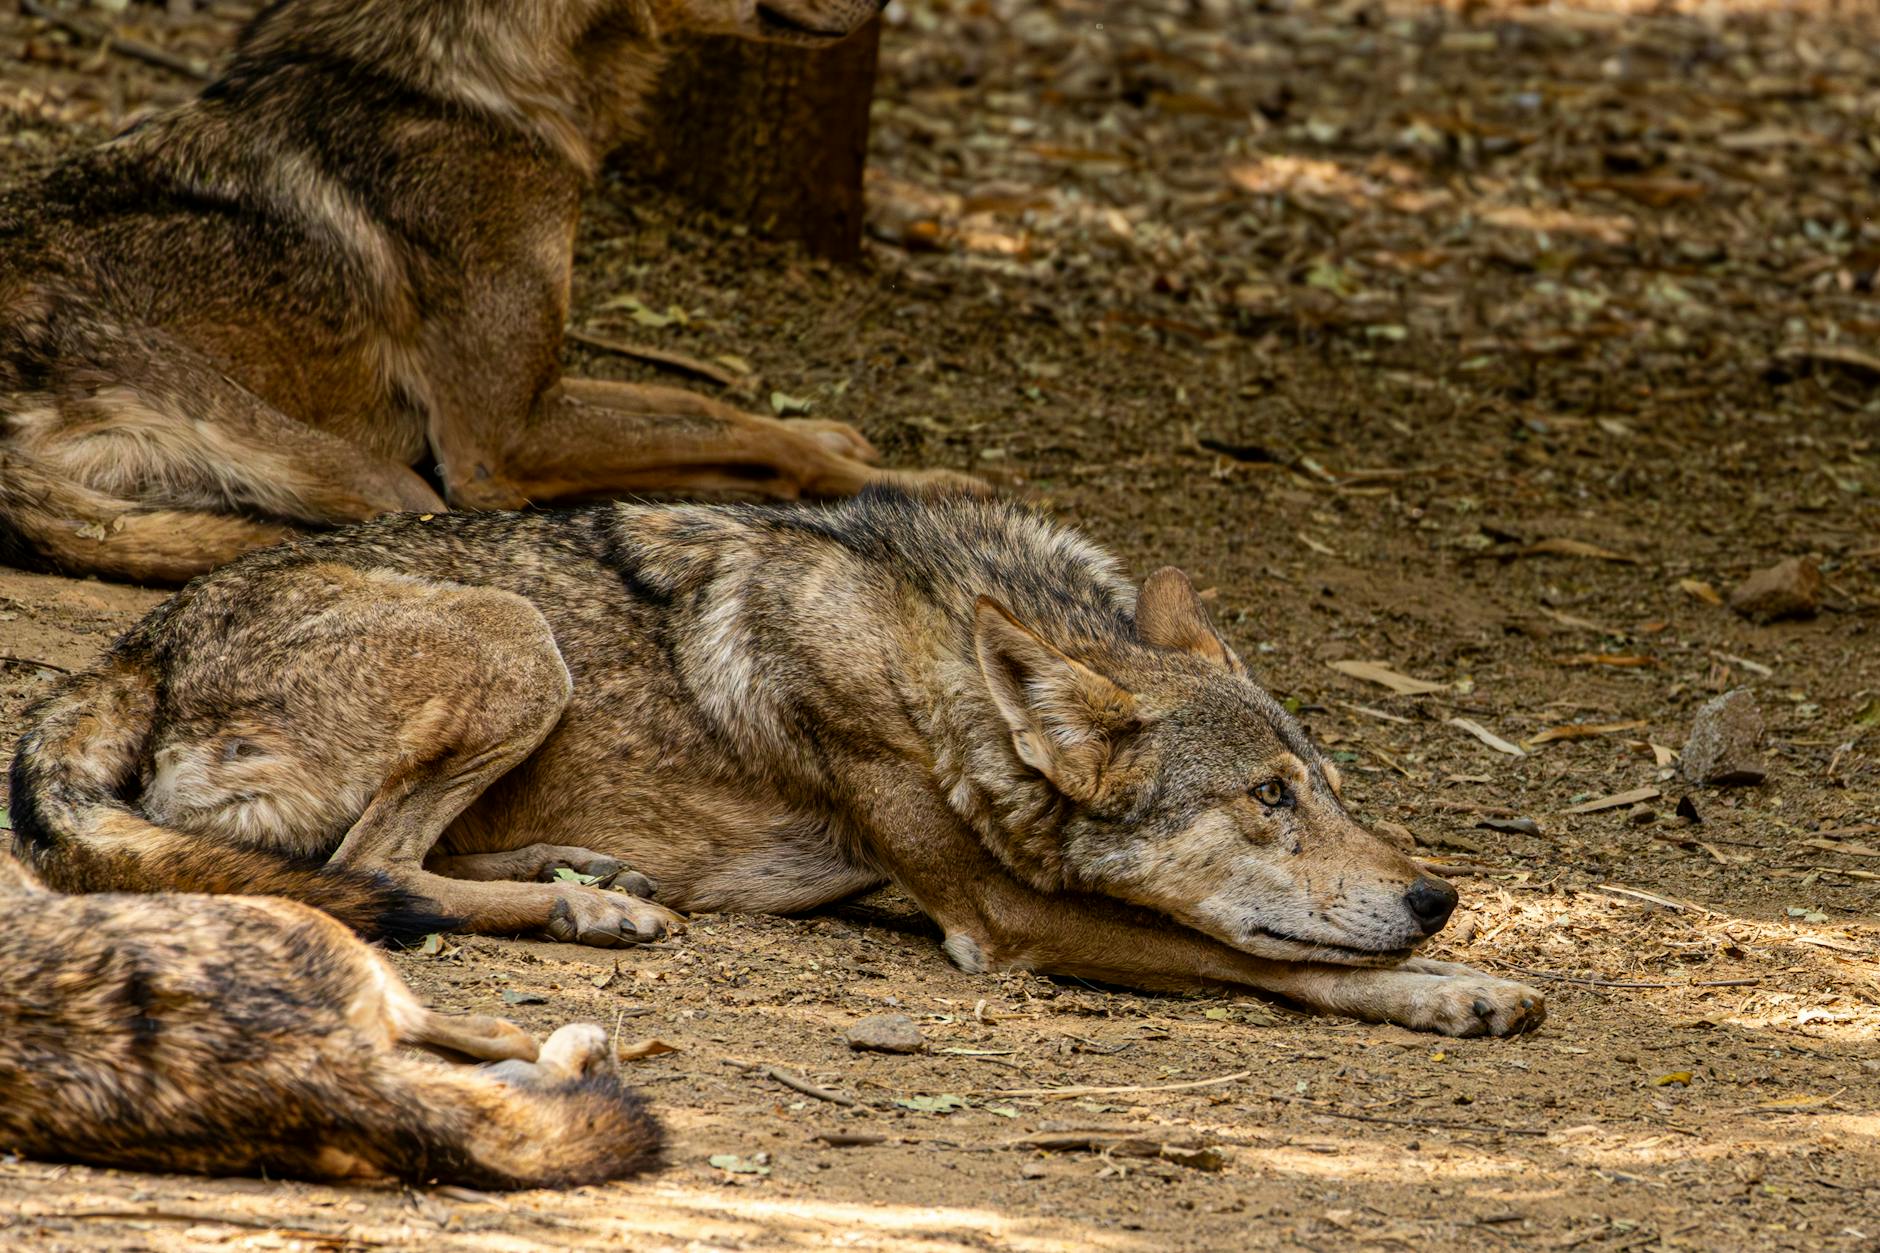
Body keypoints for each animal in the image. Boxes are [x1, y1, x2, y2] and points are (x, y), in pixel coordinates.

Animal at [0, 0, 968, 585]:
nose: (885, 7)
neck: (462, 79)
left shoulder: (535, 385)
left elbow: (705, 404)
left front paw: (837, 434)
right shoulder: (499, 439)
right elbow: (751, 437)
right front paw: (927, 483)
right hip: (393, 481)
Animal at [8, 491, 1544, 1037]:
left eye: (1327, 784)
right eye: (1265, 801)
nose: (1438, 897)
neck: (942, 667)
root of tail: (139, 637)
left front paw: (1458, 963)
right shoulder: (1008, 921)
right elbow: (1265, 960)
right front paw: (1456, 988)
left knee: (402, 859)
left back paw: (595, 876)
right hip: (517, 640)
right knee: (370, 867)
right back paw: (592, 906)